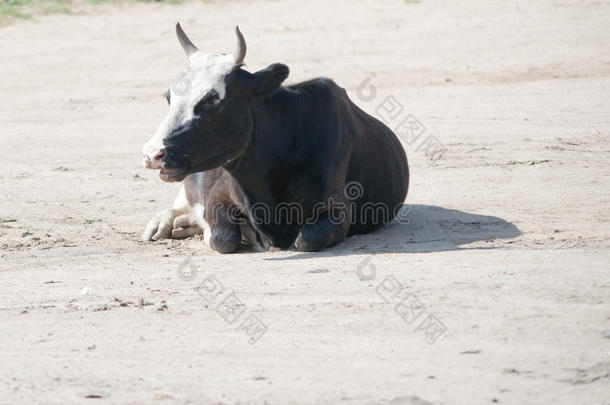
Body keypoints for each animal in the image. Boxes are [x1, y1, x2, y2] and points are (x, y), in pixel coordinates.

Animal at [141, 22, 408, 252]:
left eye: (211, 100)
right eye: (169, 97)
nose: (152, 154)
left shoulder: (338, 208)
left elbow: (306, 240)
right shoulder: (218, 195)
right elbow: (223, 237)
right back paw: (163, 224)